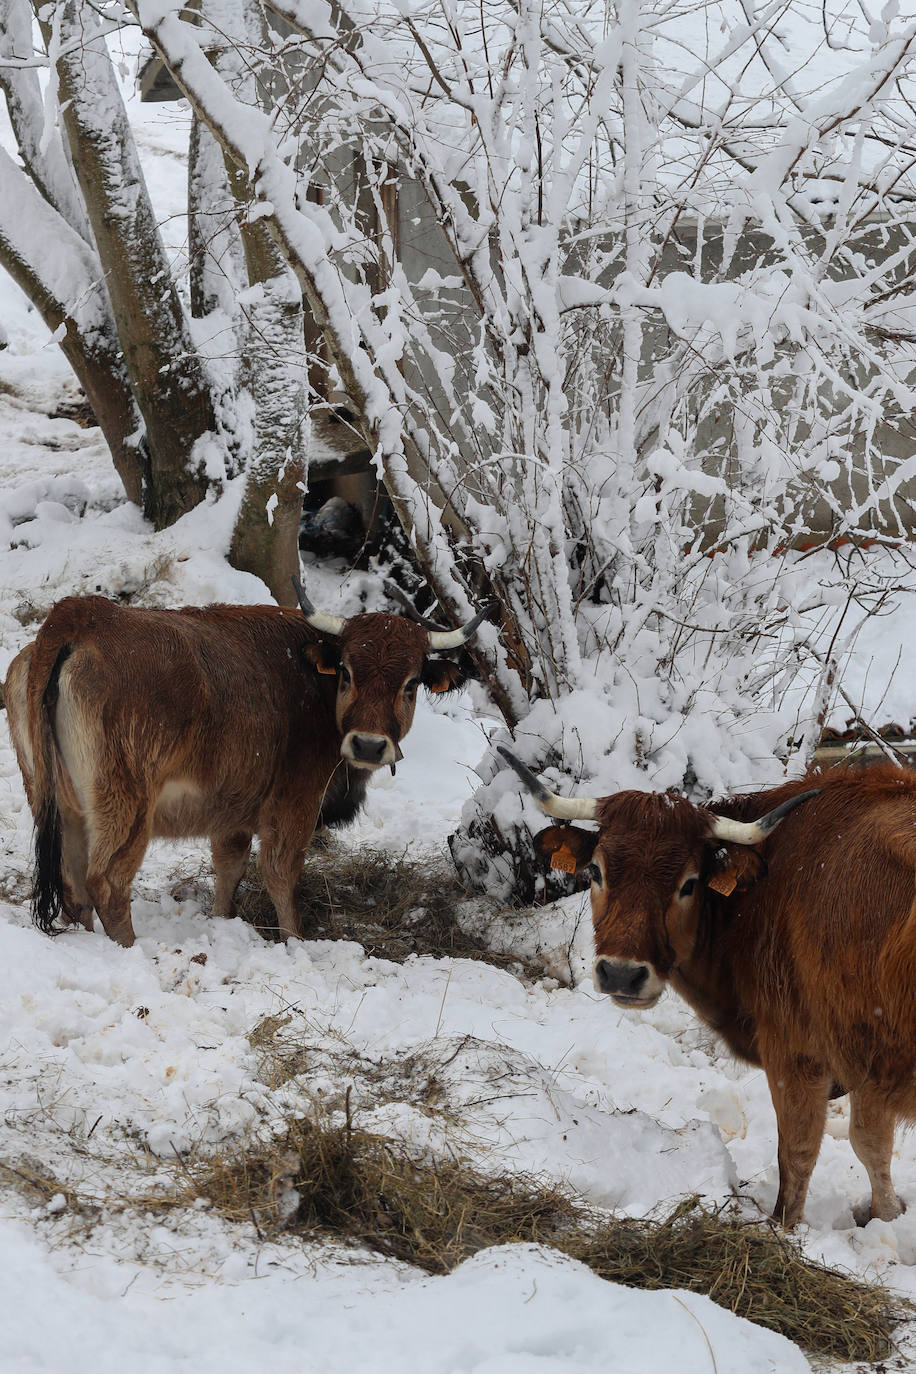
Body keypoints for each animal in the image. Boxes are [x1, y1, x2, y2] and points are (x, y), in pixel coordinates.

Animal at [5, 579, 494, 945]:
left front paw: (223, 921)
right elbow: (281, 873)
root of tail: (82, 616)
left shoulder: (232, 814)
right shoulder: (293, 804)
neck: (310, 673)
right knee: (105, 883)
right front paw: (296, 940)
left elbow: (229, 869)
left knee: (72, 886)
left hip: (62, 808)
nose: (369, 746)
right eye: (348, 672)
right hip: (125, 811)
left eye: (411, 683)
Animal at [497, 747, 916, 1231]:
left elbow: (808, 1151)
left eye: (689, 883)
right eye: (597, 871)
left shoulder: (805, 1054)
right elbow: (871, 1147)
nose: (621, 974)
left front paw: (787, 1229)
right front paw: (885, 1214)